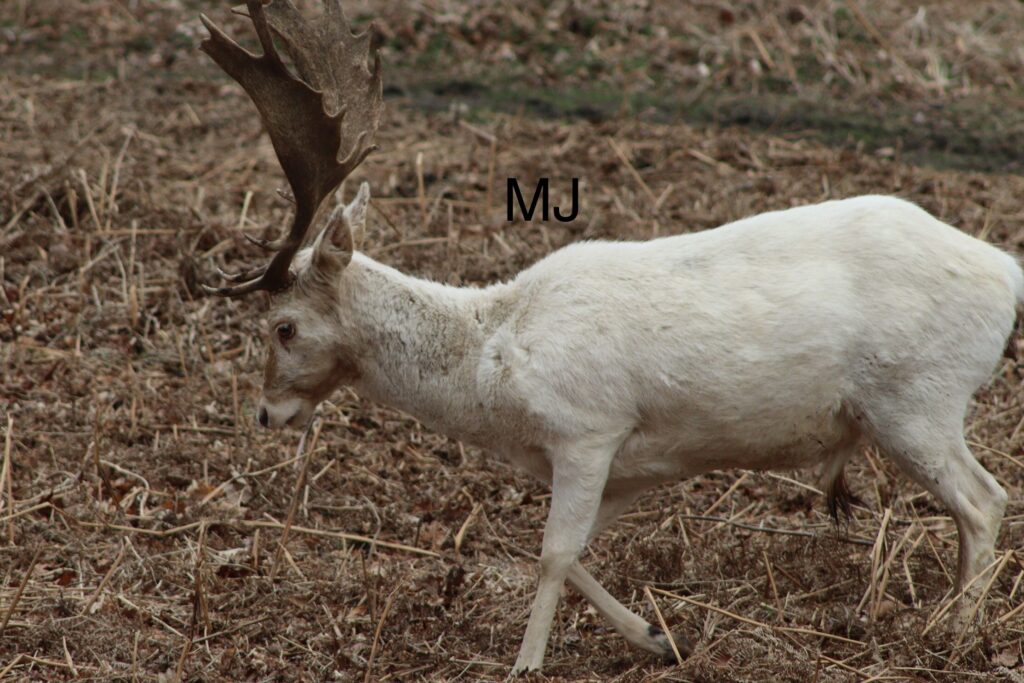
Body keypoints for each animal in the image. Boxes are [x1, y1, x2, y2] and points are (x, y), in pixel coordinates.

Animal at [196, 1, 1024, 675]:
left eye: (283, 326)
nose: (267, 411)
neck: (494, 373)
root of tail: (1007, 276)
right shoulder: (630, 463)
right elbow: (575, 551)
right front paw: (660, 638)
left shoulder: (587, 426)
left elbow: (552, 553)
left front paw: (526, 664)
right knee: (972, 508)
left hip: (915, 397)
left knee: (984, 499)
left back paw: (954, 631)